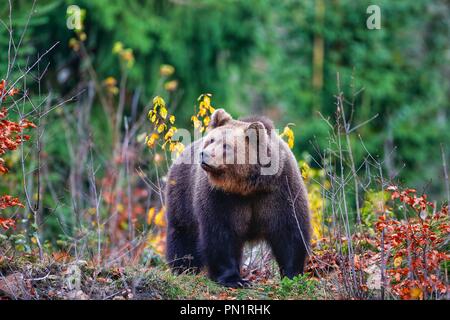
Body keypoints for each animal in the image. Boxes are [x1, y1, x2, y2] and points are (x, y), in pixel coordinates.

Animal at [164, 108, 310, 288]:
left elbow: (289, 230)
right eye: (211, 140)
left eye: (226, 146)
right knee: (183, 233)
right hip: (182, 194)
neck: (249, 186)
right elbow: (222, 233)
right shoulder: (221, 197)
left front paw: (293, 274)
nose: (204, 154)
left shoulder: (280, 190)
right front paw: (235, 279)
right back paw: (184, 267)